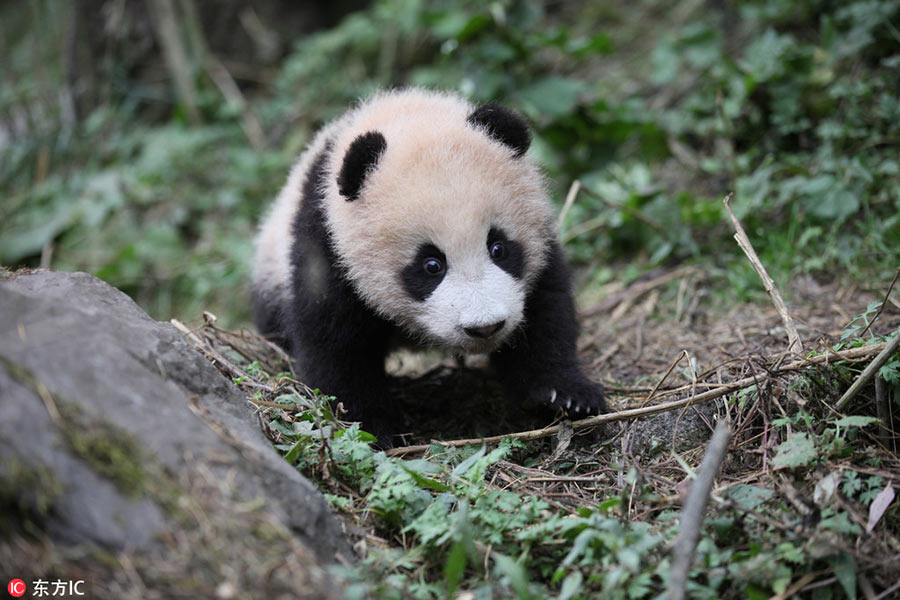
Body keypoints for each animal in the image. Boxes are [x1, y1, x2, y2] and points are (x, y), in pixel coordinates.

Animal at [253, 88, 605, 445]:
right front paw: (372, 426)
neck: (408, 118)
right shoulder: (327, 240)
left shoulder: (540, 246)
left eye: (499, 248)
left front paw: (566, 396)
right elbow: (334, 340)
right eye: (431, 265)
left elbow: (545, 313)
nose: (485, 327)